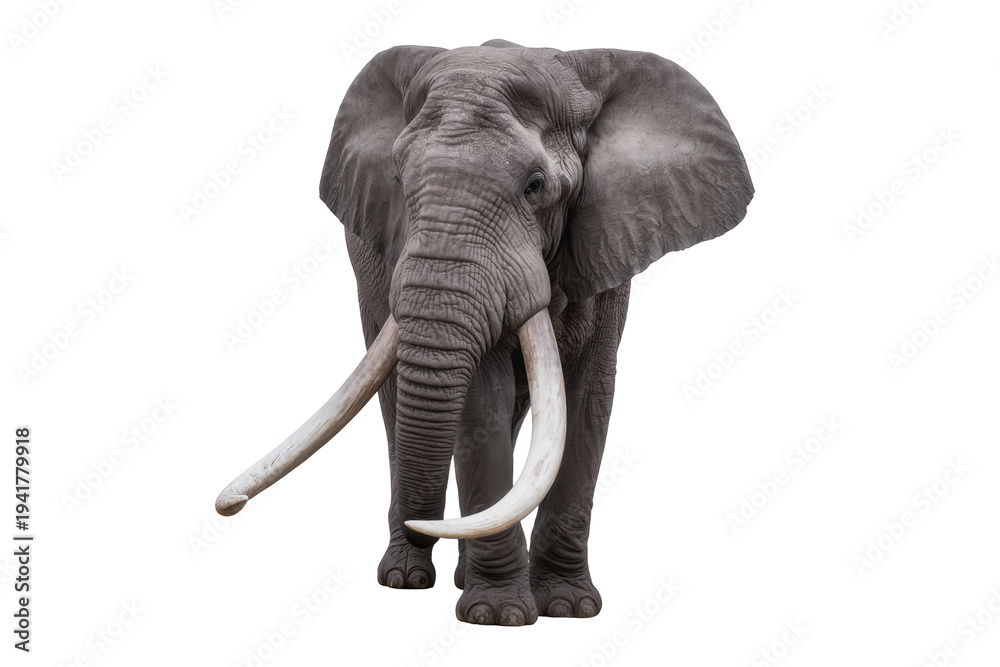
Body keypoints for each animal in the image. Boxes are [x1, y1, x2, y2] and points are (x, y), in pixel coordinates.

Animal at [216, 39, 753, 626]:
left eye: (535, 187)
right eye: (398, 179)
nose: (228, 506)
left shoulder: (608, 243)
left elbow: (588, 396)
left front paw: (567, 608)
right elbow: (482, 398)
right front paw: (498, 616)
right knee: (395, 398)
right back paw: (407, 577)